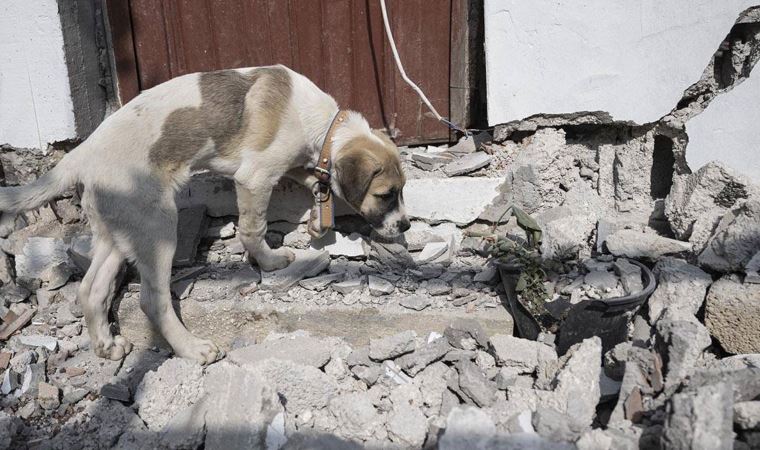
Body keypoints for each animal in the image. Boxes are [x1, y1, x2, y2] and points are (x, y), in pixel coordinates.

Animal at [0, 65, 410, 364]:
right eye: (386, 194)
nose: (405, 224)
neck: (322, 124)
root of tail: (79, 155)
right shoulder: (255, 177)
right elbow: (253, 227)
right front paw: (269, 261)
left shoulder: (292, 164)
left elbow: (314, 180)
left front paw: (316, 217)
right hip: (158, 227)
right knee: (152, 300)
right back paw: (191, 348)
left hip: (120, 229)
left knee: (92, 288)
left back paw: (106, 344)